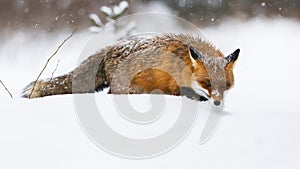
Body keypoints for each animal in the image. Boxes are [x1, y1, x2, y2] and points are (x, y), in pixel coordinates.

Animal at [22, 33, 239, 106]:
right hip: (127, 88)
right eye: (206, 82)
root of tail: (110, 48)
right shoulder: (175, 86)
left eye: (225, 85)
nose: (218, 103)